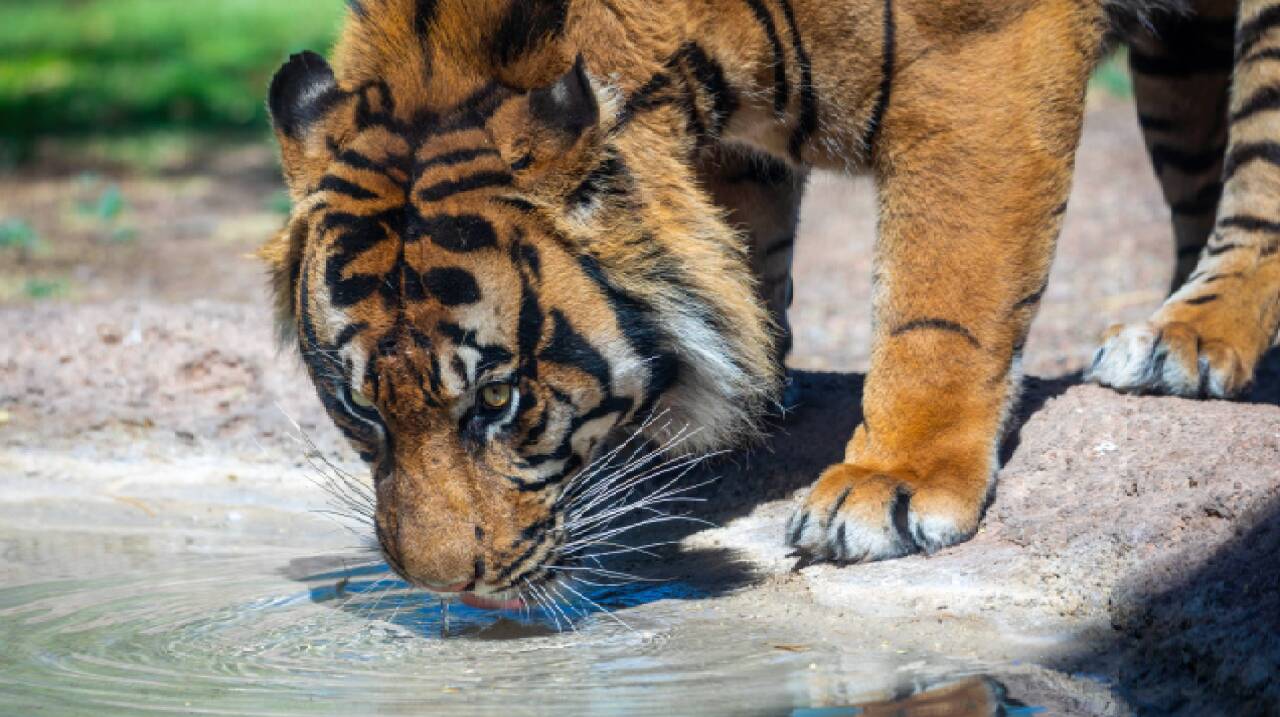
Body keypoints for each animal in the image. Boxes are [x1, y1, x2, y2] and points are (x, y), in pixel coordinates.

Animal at [262, 0, 1280, 604]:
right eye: (356, 405)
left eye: (499, 398)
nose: (446, 591)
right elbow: (746, 256)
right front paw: (750, 391)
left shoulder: (982, 54)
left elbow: (942, 293)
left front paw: (895, 479)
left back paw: (1185, 337)